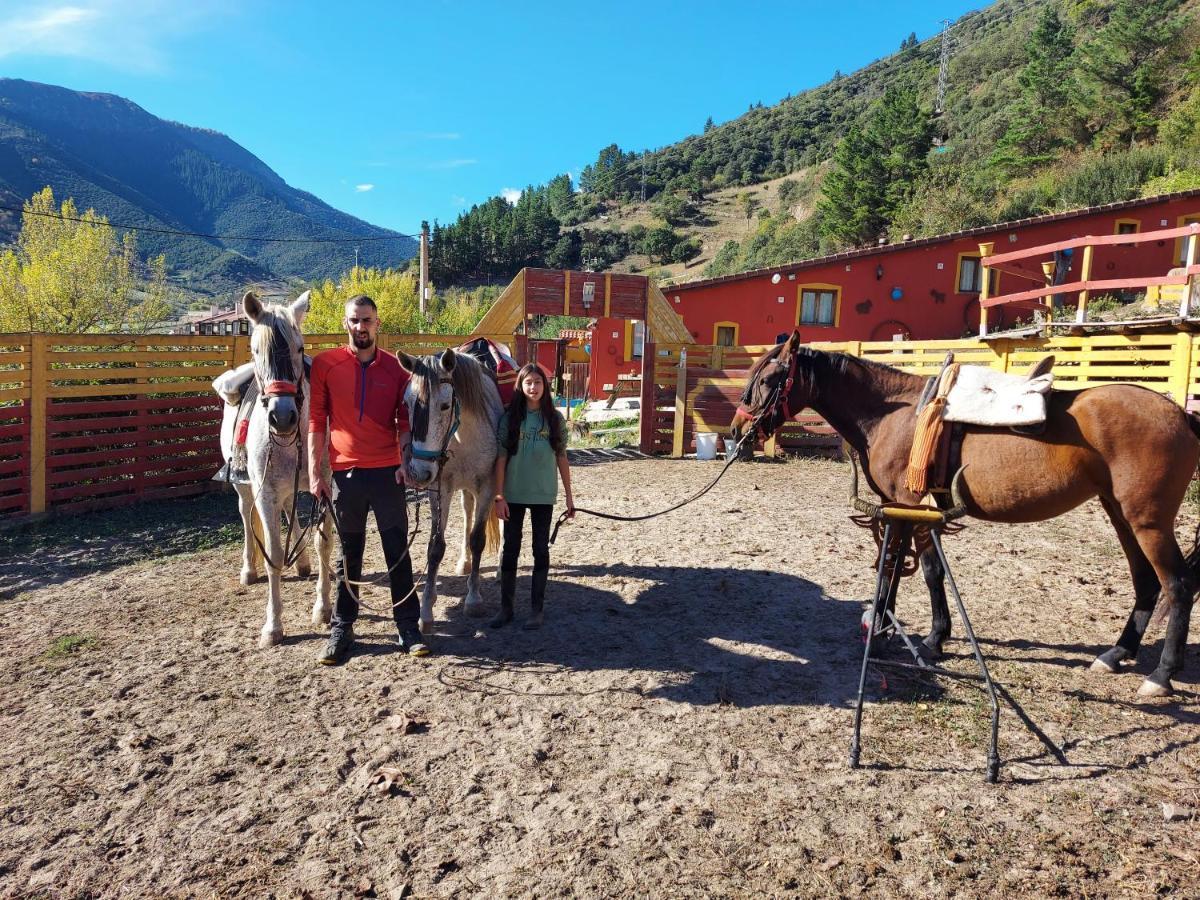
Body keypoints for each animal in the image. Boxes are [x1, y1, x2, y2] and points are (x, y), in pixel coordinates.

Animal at [218, 292, 333, 652]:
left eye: (299, 347)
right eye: (256, 349)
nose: (282, 417)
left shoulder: (324, 488)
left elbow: (323, 543)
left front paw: (322, 607)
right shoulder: (265, 493)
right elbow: (274, 554)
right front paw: (273, 626)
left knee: (288, 510)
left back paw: (304, 563)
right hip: (245, 488)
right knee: (246, 515)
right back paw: (248, 569)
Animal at [398, 348, 501, 633]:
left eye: (444, 405)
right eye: (407, 404)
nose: (418, 472)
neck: (463, 435)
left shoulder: (488, 486)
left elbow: (478, 540)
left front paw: (474, 599)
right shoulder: (440, 488)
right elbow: (435, 546)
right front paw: (425, 610)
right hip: (464, 490)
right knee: (467, 513)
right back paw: (464, 562)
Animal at [729, 336, 1200, 700]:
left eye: (769, 380)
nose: (737, 430)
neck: (894, 414)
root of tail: (1180, 414)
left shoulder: (909, 504)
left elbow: (914, 569)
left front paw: (911, 634)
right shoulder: (901, 507)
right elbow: (906, 567)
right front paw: (902, 627)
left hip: (1148, 523)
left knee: (1177, 585)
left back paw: (1161, 676)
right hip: (1120, 515)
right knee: (1146, 582)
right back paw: (1116, 655)